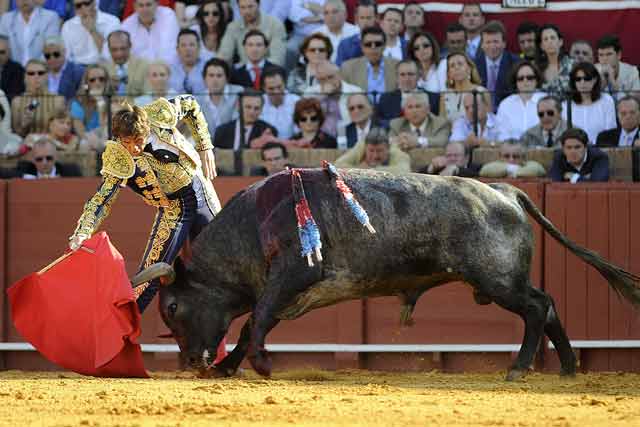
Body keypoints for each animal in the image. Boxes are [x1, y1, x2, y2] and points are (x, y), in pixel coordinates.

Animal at [132, 169, 636, 380]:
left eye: (172, 306)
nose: (192, 361)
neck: (254, 226)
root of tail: (504, 191)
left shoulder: (290, 279)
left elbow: (255, 321)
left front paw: (259, 365)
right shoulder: (286, 293)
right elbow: (253, 324)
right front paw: (229, 366)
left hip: (497, 281)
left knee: (535, 307)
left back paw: (519, 368)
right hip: (502, 281)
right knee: (547, 304)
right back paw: (567, 368)